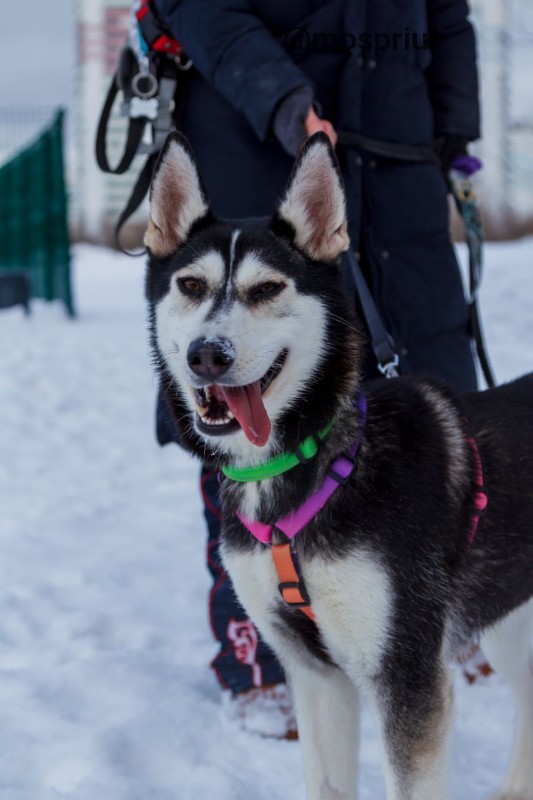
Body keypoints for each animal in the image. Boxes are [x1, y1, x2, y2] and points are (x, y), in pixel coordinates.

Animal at [143, 133, 532, 800]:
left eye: (267, 290)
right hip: (506, 618)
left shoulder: (405, 673)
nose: (207, 354)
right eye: (191, 285)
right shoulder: (314, 674)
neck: (314, 464)